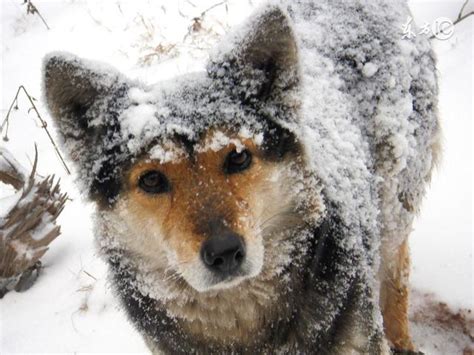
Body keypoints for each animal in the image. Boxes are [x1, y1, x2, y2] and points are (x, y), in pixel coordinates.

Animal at [42, 1, 438, 354]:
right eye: (152, 180)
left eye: (237, 157)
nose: (224, 252)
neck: (240, 327)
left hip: (394, 208)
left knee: (396, 271)